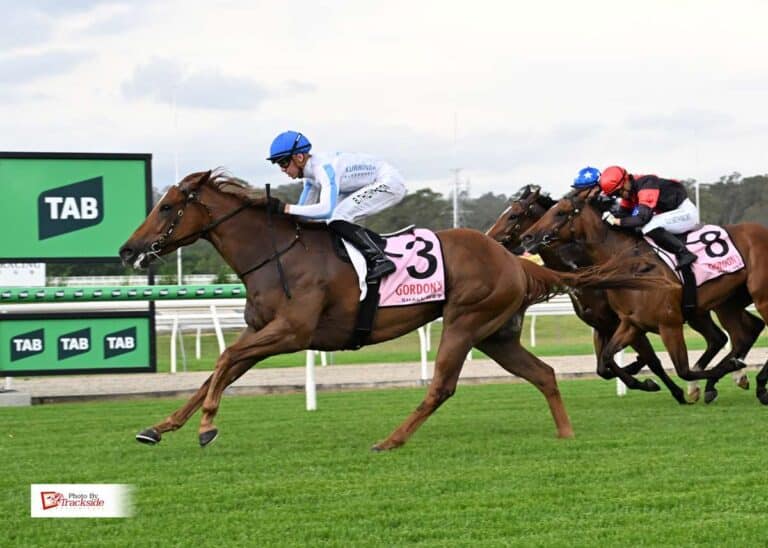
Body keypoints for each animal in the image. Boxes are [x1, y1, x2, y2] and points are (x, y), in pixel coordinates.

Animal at [119, 170, 668, 449]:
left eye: (167, 207)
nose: (128, 250)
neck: (277, 253)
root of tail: (513, 259)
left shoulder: (291, 332)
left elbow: (224, 362)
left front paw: (206, 427)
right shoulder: (264, 330)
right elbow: (219, 369)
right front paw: (159, 427)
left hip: (464, 321)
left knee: (442, 386)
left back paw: (391, 440)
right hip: (496, 334)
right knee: (545, 374)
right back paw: (566, 434)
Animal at [486, 185, 751, 403]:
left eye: (513, 215)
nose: (489, 239)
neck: (583, 267)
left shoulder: (628, 323)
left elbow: (650, 361)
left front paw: (666, 387)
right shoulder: (603, 326)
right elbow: (603, 367)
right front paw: (643, 376)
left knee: (732, 335)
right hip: (703, 310)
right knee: (726, 336)